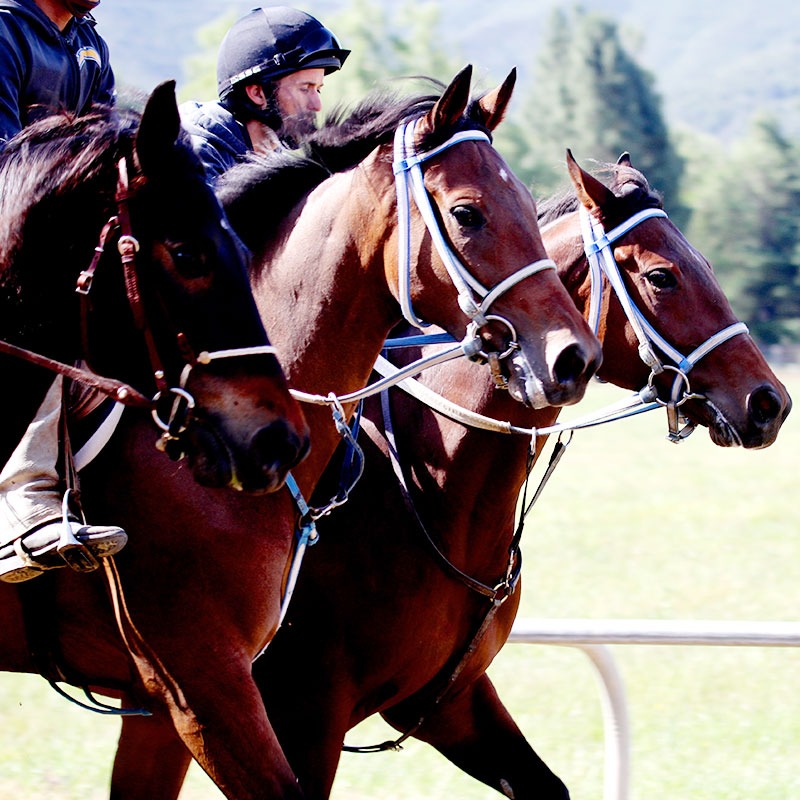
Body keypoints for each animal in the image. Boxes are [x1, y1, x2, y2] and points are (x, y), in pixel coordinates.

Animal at [114, 152, 792, 800]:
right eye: (661, 276)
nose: (769, 400)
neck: (431, 493)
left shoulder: (448, 699)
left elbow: (545, 785)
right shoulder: (297, 713)